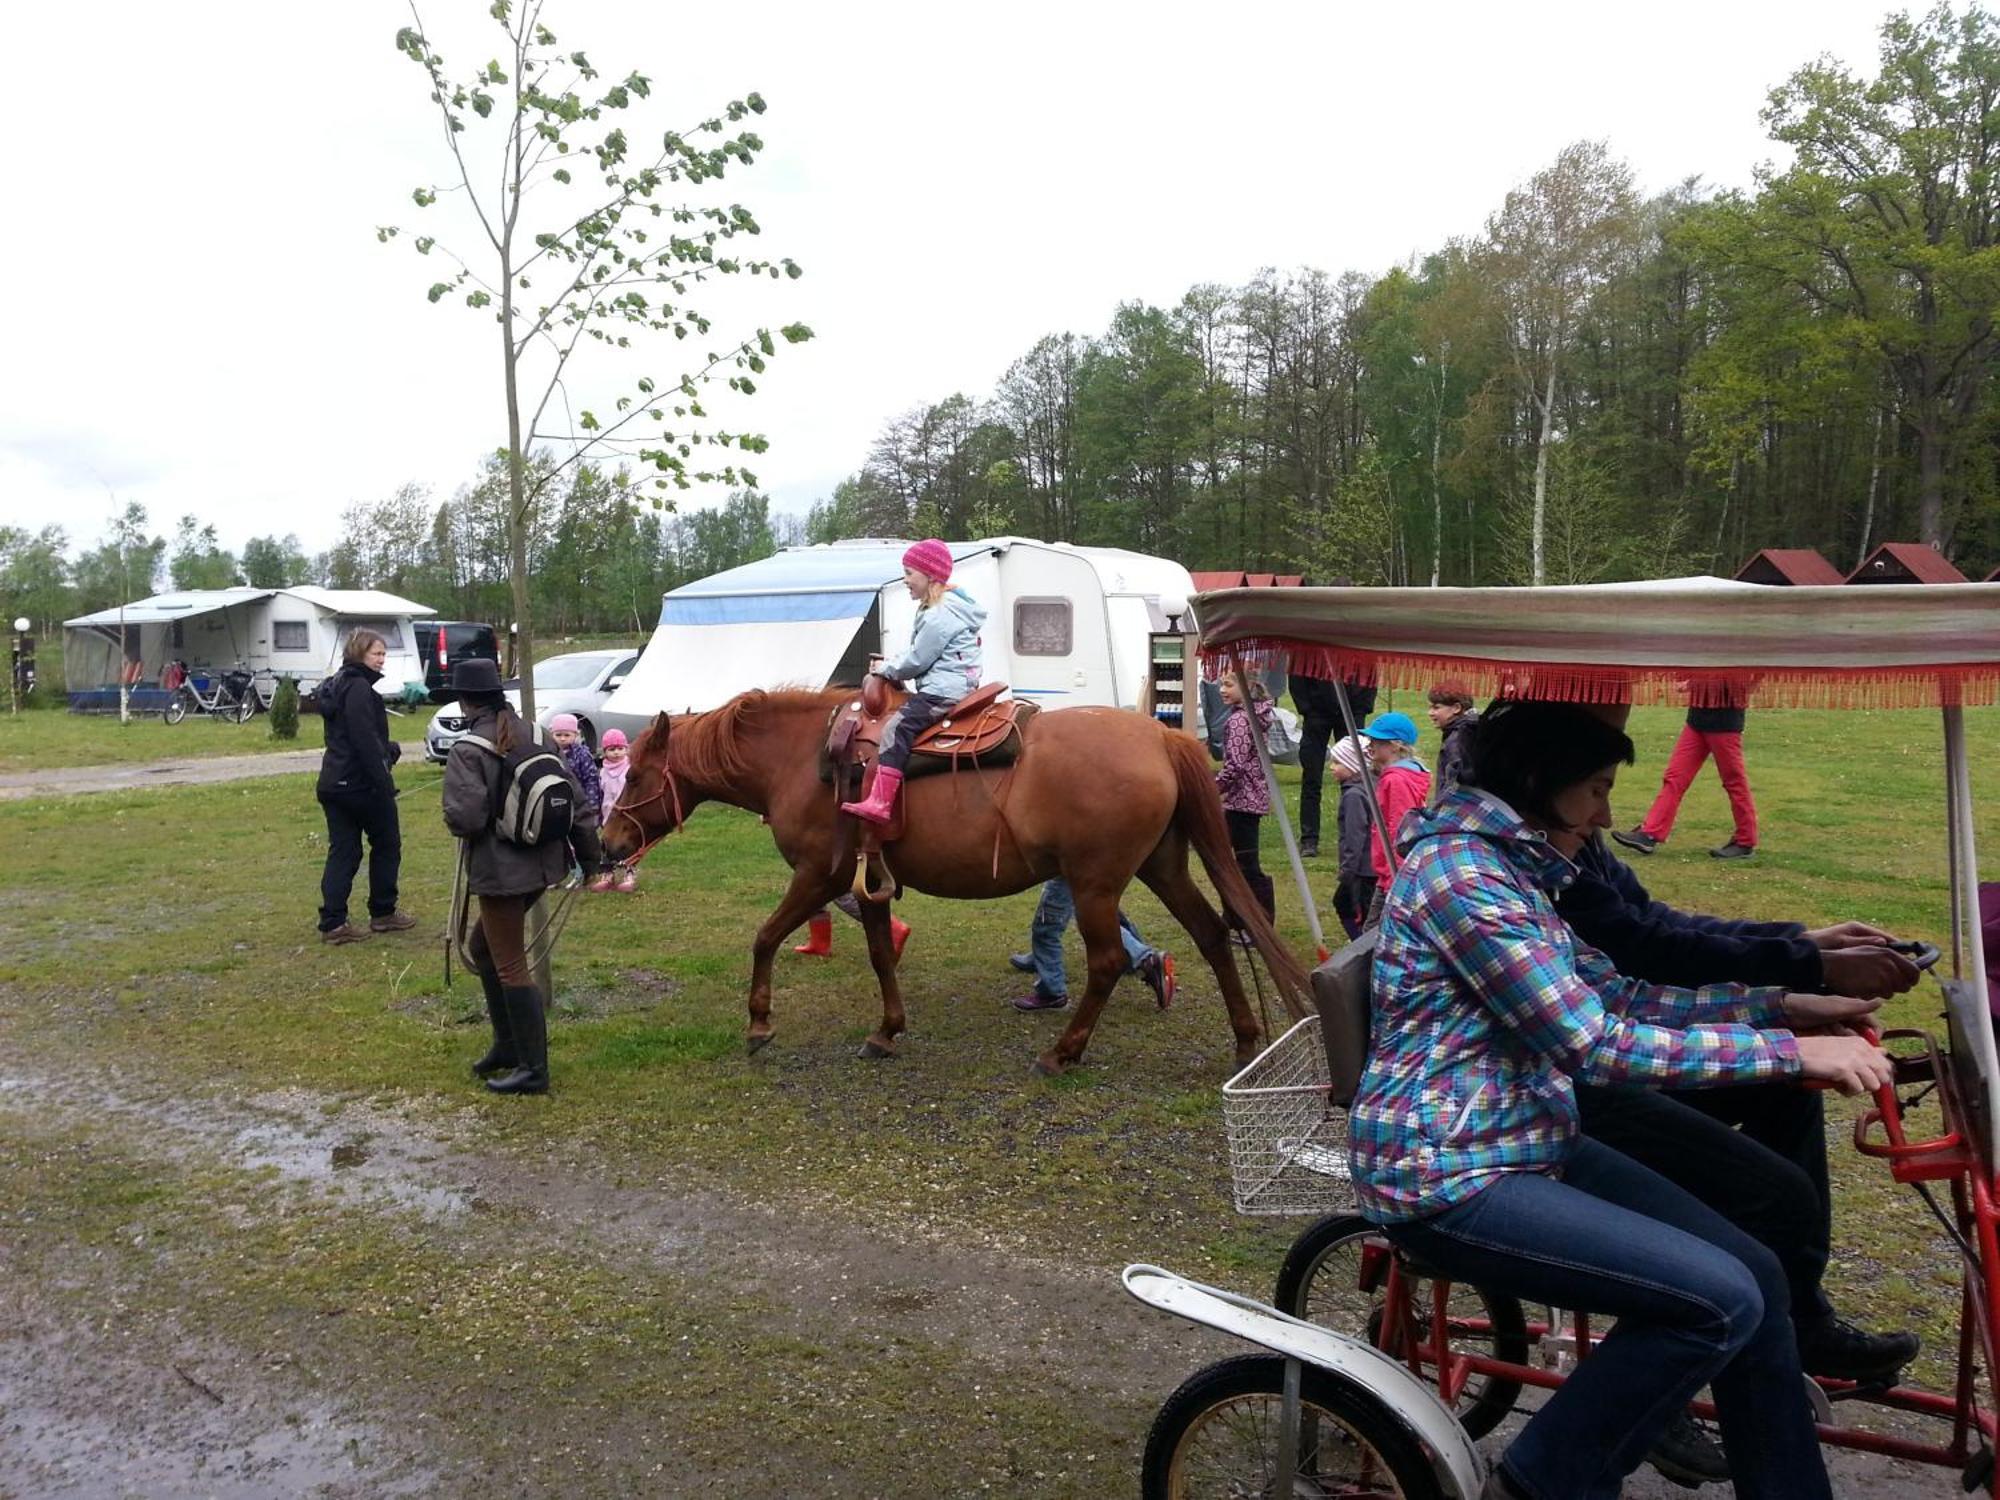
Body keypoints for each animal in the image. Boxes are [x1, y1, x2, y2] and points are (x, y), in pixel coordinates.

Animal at [596, 688, 1312, 1072]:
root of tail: (1161, 739)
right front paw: (887, 1030)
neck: (799, 761)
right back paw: (1244, 1040)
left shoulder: (819, 877)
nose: (607, 844)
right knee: (1213, 934)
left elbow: (765, 937)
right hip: (1159, 866)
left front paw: (759, 1023)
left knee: (1109, 961)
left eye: (635, 775)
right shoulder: (869, 883)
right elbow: (881, 955)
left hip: (1096, 884)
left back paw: (1063, 1052)